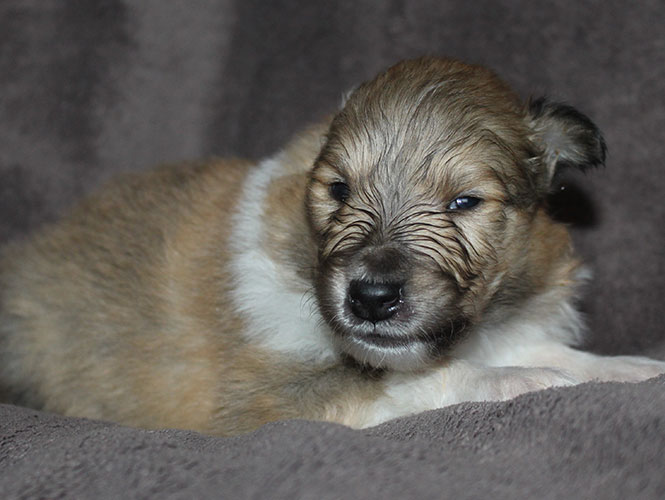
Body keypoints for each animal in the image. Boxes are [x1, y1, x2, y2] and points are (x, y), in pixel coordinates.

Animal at [1, 57, 664, 436]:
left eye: (464, 202)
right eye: (339, 190)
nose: (370, 297)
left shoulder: (509, 324)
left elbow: (560, 353)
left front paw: (630, 368)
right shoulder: (264, 399)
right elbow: (416, 381)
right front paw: (527, 381)